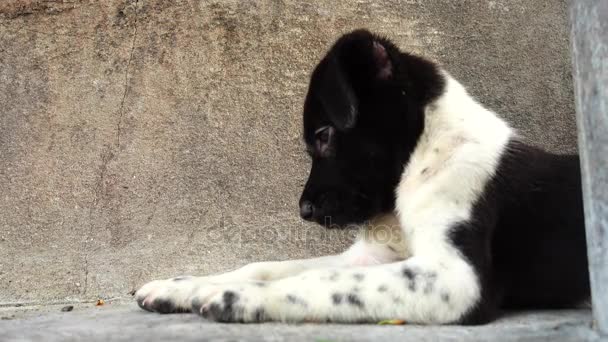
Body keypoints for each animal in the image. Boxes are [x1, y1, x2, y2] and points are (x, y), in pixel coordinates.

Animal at [134, 28, 588, 324]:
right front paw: (182, 285)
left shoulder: (456, 278)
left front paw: (237, 296)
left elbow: (324, 278)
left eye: (323, 134)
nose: (304, 211)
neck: (425, 155)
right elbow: (272, 265)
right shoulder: (371, 257)